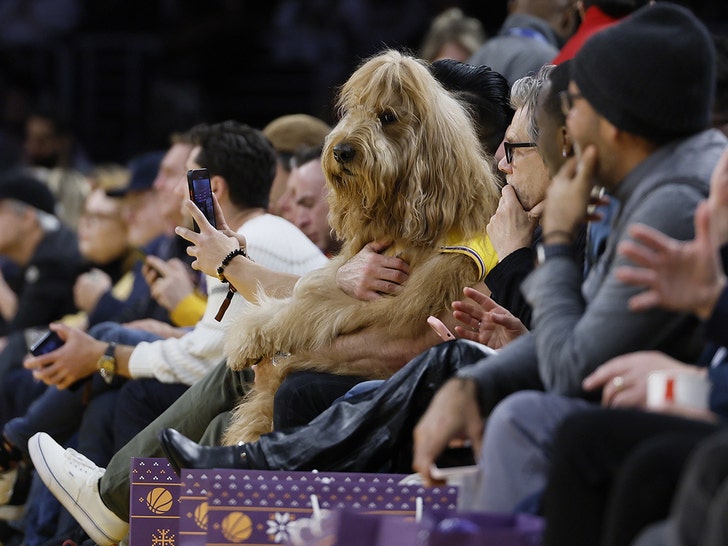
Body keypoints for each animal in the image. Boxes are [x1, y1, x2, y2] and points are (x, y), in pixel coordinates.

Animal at [222, 49, 504, 444]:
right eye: (353, 110)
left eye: (388, 117)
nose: (341, 151)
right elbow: (304, 292)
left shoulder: (395, 302)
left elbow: (307, 308)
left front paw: (248, 342)